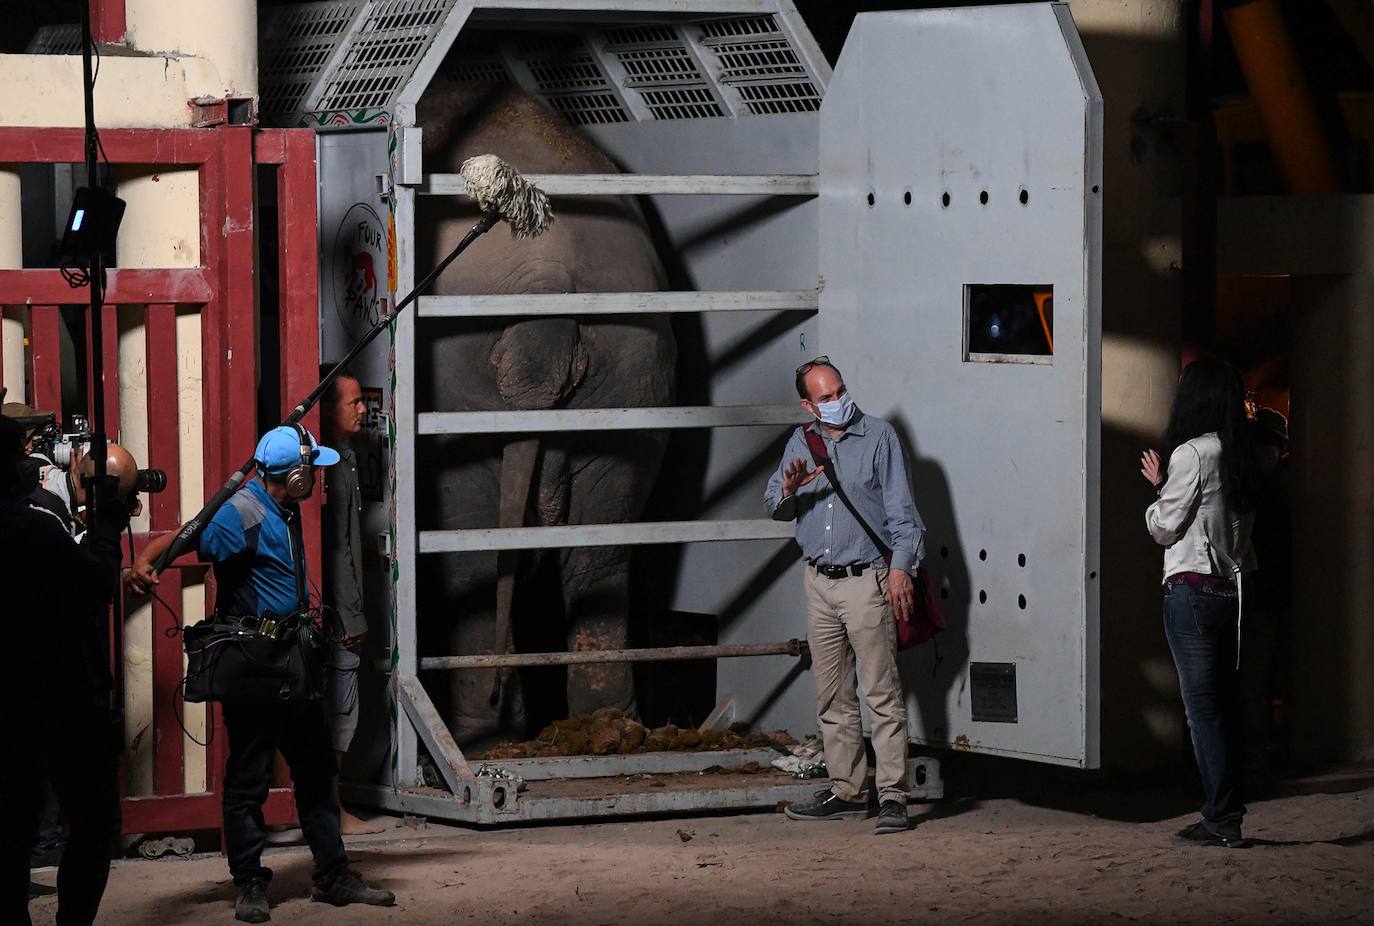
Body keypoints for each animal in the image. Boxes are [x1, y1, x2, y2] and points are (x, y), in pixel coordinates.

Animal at [414, 81, 678, 741]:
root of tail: (545, 294)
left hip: (459, 384)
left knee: (471, 555)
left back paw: (484, 737)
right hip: (634, 376)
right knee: (601, 554)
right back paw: (610, 730)